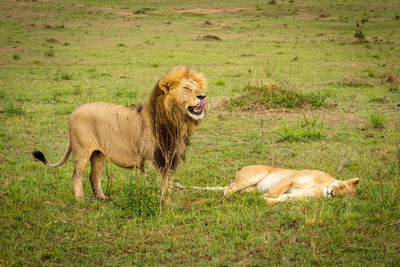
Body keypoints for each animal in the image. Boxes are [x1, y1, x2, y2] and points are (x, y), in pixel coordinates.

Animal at [33, 66, 208, 202]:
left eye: (198, 87)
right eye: (186, 88)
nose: (202, 96)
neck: (175, 122)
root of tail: (73, 112)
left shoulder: (171, 160)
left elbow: (168, 186)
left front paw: (166, 204)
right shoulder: (151, 160)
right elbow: (154, 185)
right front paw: (154, 201)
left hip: (98, 155)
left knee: (93, 177)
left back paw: (102, 198)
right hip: (81, 151)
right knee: (77, 175)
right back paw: (81, 199)